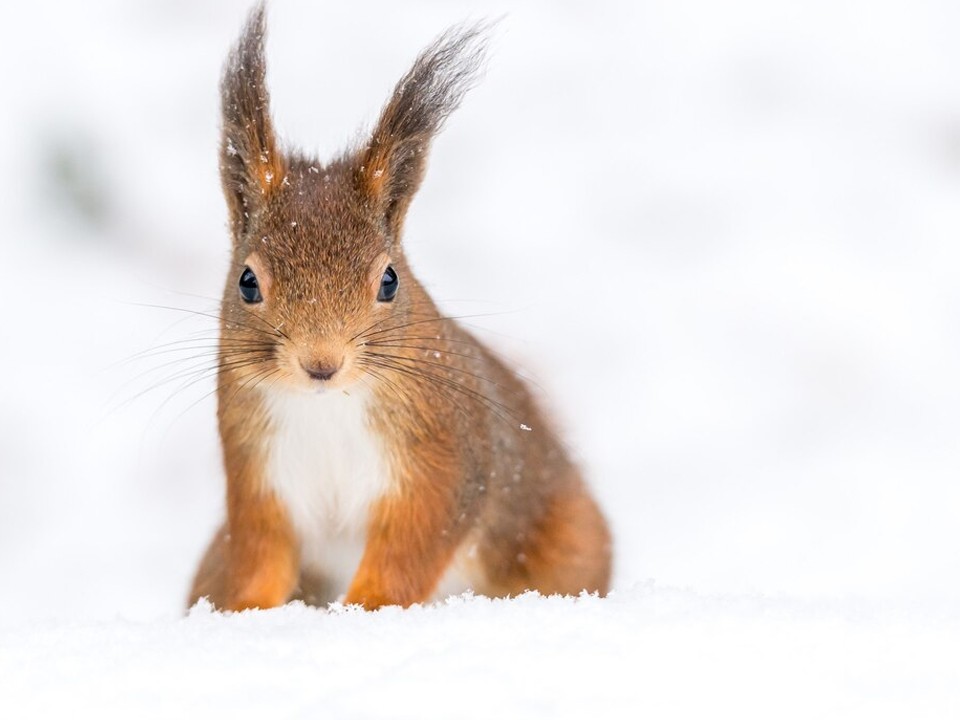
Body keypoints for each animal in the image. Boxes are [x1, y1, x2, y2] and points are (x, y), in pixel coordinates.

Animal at [186, 4, 608, 612]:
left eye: (389, 281)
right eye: (247, 283)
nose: (321, 364)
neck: (327, 407)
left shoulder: (441, 460)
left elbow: (410, 549)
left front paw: (364, 607)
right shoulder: (256, 476)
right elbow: (260, 556)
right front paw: (247, 613)